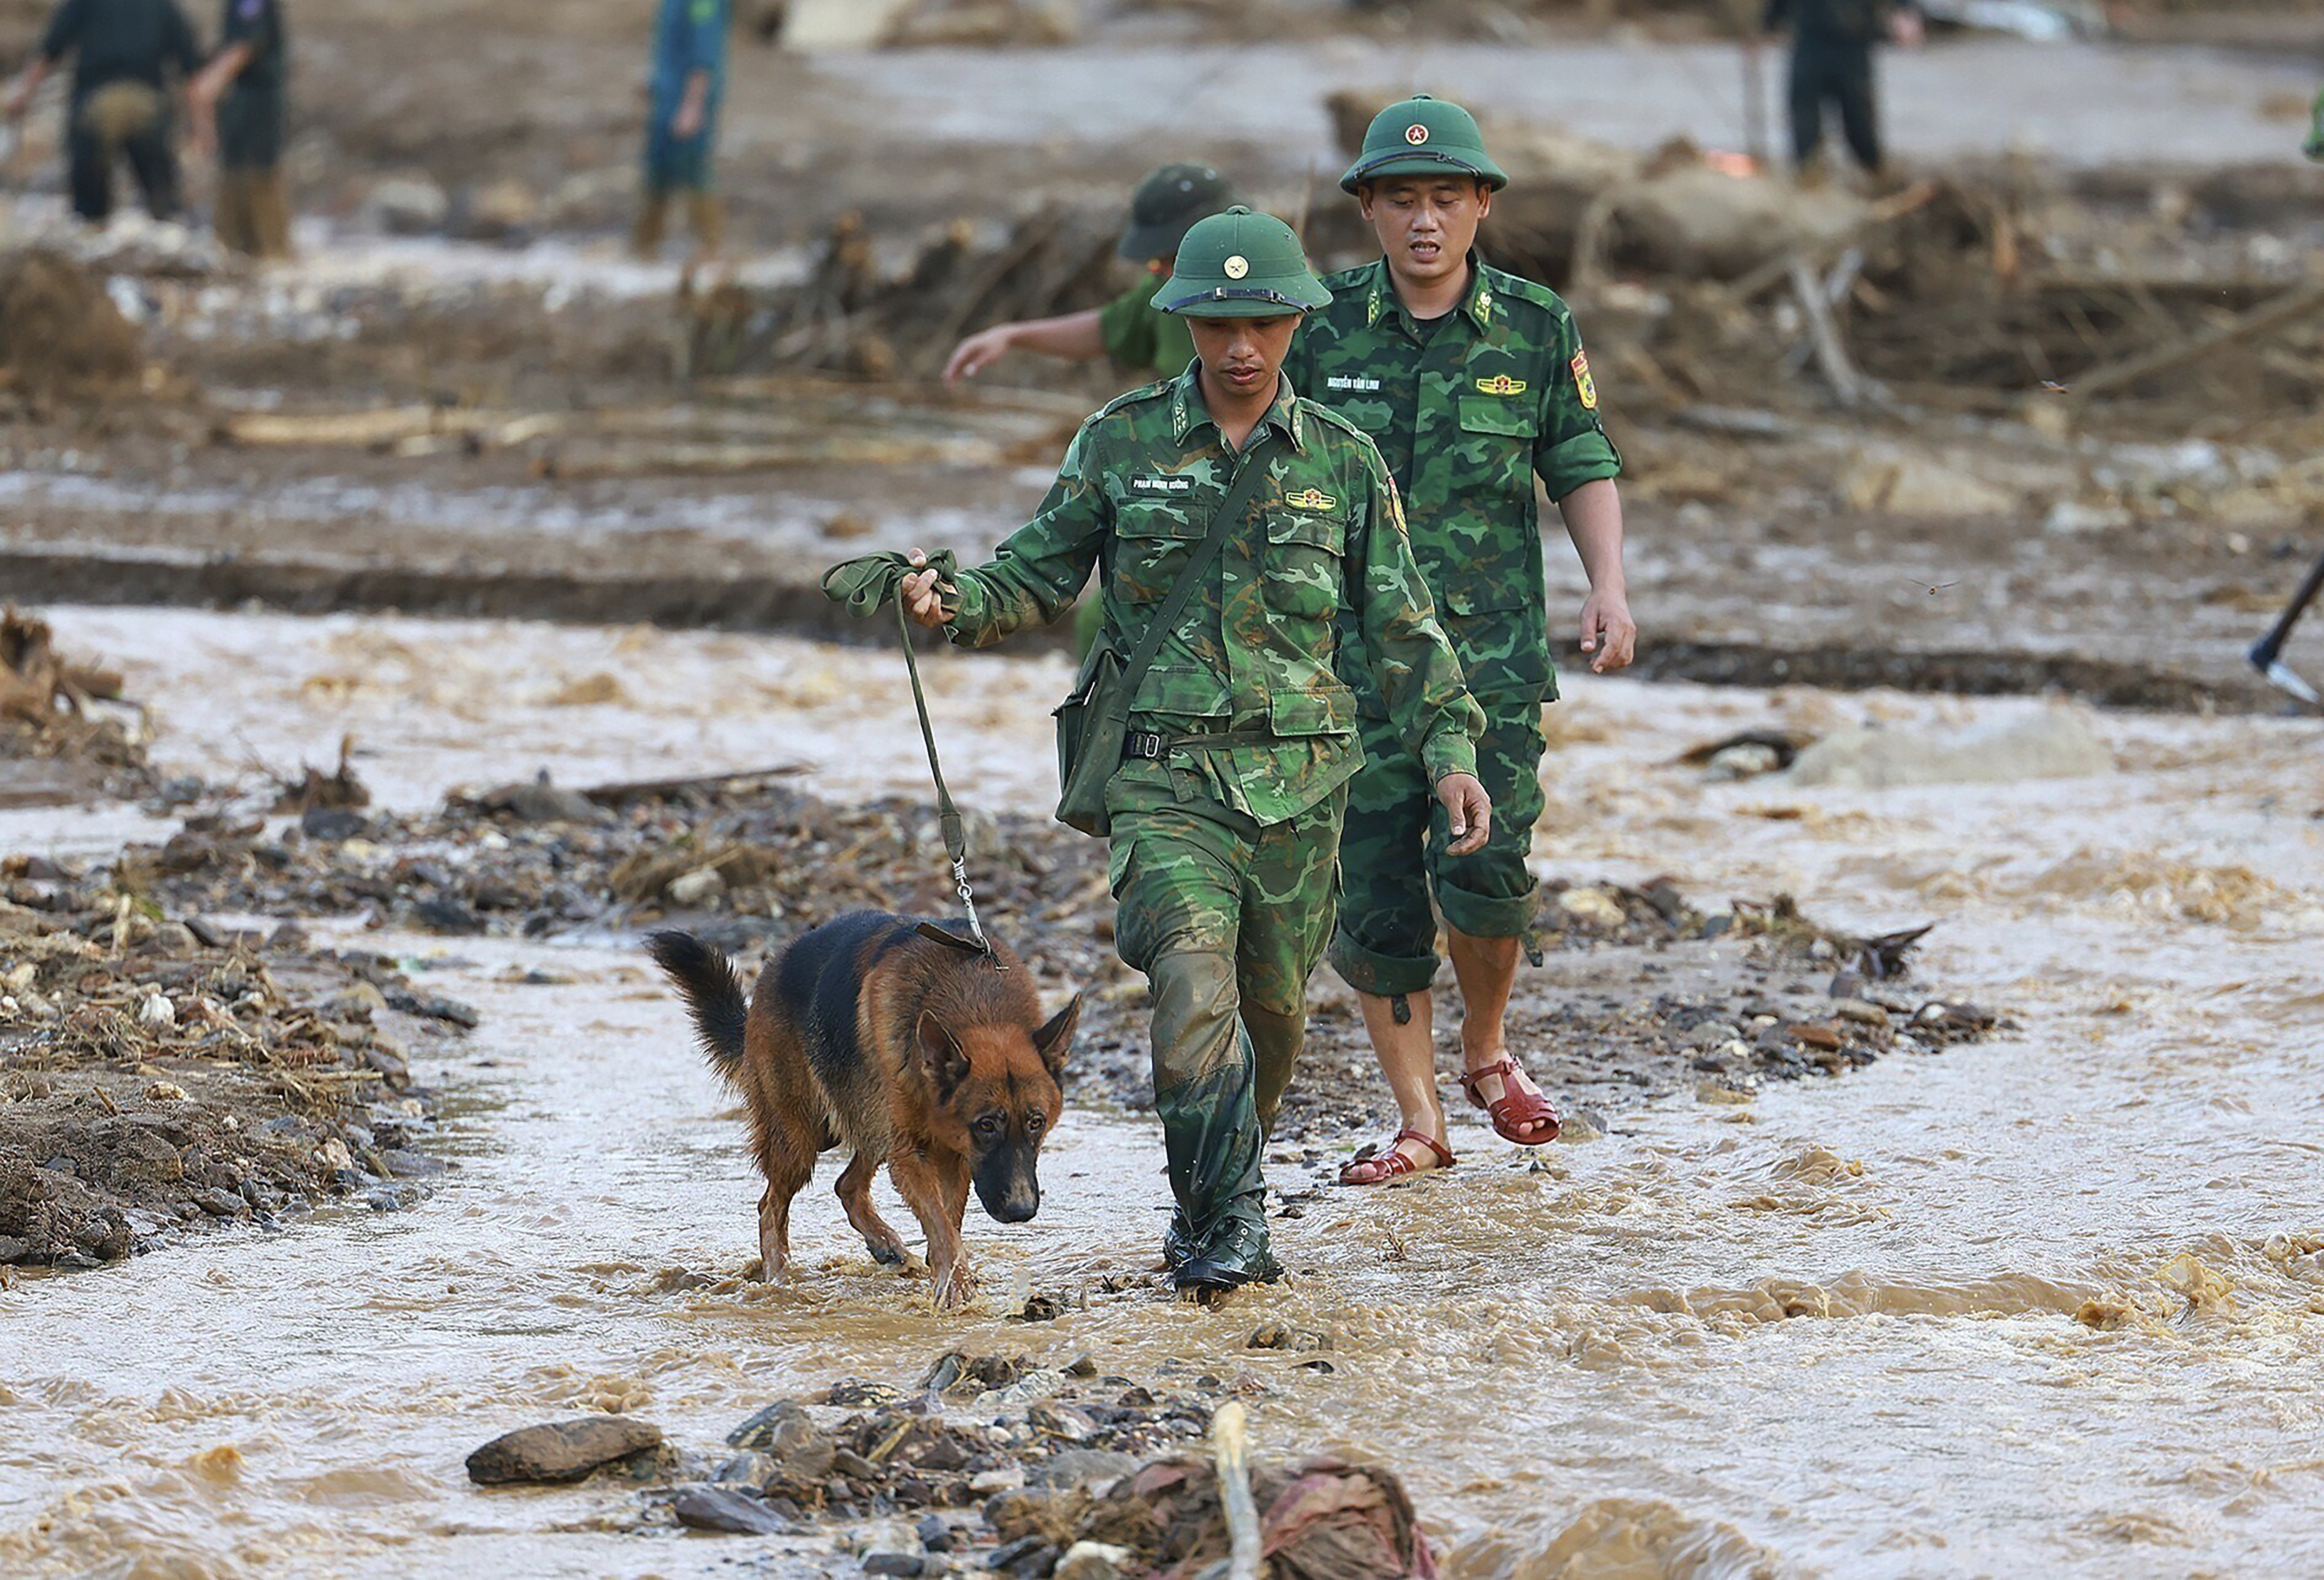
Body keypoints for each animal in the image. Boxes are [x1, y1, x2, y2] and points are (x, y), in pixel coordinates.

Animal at [646, 915, 1078, 1310]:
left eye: (1036, 1123)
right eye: (986, 1125)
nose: (1022, 1211)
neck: (978, 1006)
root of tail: (770, 974)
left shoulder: (952, 1155)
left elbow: (948, 1222)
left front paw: (949, 1274)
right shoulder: (914, 1154)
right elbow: (941, 1224)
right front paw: (955, 1286)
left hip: (869, 1123)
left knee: (847, 1185)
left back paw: (885, 1246)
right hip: (802, 1139)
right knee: (771, 1207)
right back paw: (779, 1282)